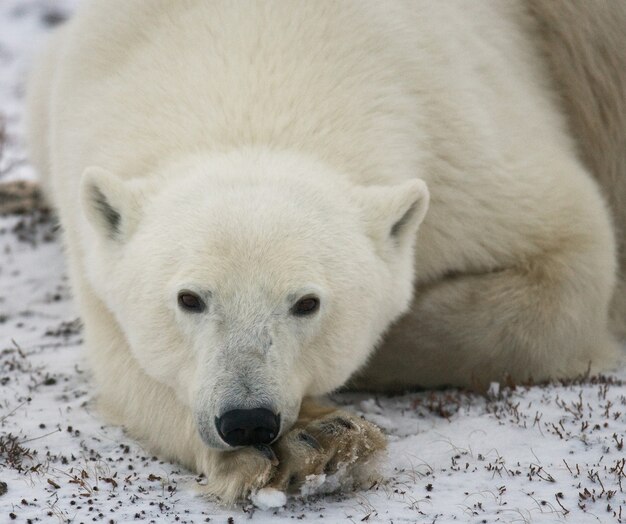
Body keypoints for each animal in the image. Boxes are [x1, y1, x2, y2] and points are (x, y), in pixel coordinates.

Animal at [25, 0, 624, 504]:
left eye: (306, 302)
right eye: (189, 298)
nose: (247, 420)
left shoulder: (464, 146)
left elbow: (572, 261)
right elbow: (125, 369)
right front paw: (311, 442)